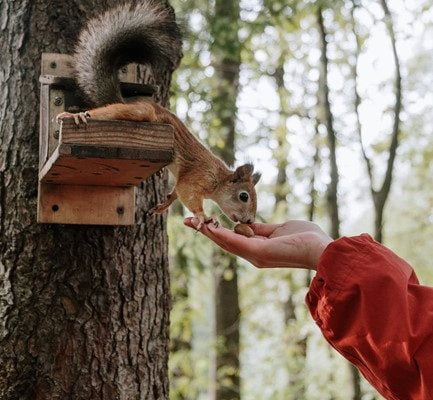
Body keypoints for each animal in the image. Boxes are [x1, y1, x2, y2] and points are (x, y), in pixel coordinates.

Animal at [57, 0, 260, 228]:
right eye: (244, 196)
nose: (250, 221)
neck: (217, 179)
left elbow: (176, 192)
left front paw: (164, 205)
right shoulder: (198, 177)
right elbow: (187, 192)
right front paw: (203, 216)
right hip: (142, 112)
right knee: (109, 111)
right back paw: (76, 116)